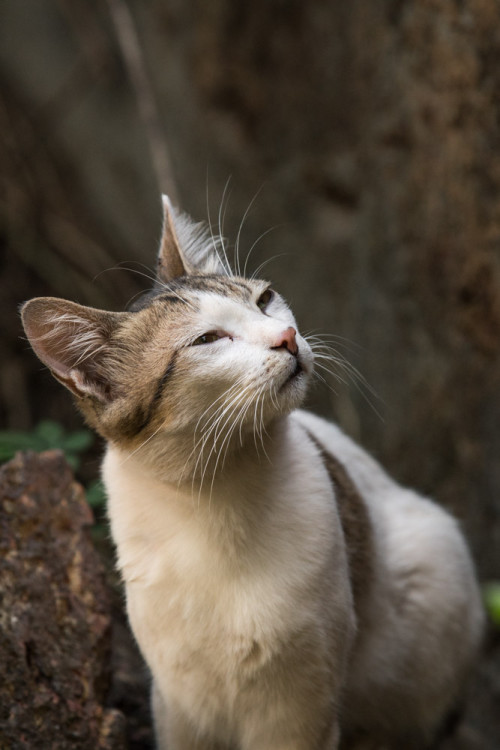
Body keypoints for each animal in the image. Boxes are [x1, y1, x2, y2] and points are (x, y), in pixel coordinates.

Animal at [20, 197, 484, 748]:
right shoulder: (180, 703)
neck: (218, 500)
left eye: (265, 300)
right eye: (207, 339)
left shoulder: (300, 707)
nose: (287, 337)